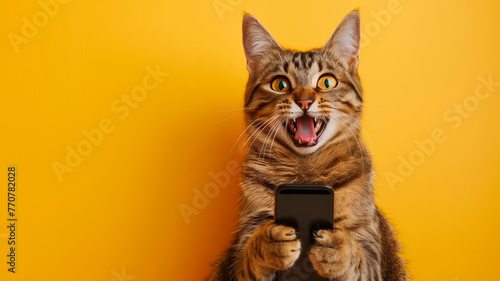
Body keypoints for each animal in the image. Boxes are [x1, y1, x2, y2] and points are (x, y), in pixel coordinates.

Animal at [209, 9, 408, 280]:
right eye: (280, 84)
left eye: (327, 82)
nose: (304, 101)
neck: (305, 173)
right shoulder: (241, 244)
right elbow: (249, 257)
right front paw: (268, 243)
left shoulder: (371, 248)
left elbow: (358, 260)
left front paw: (338, 248)